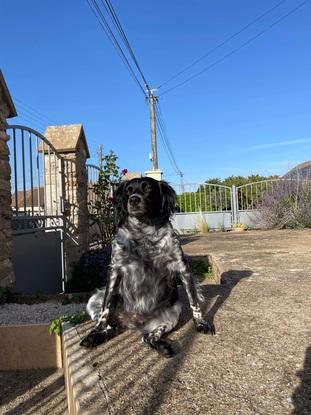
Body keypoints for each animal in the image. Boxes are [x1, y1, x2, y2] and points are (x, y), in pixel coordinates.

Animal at [81, 176, 214, 358]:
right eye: (128, 191)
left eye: (148, 189)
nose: (133, 199)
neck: (143, 233)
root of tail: (133, 323)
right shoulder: (115, 270)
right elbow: (105, 312)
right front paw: (94, 333)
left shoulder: (183, 269)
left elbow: (195, 303)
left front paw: (201, 323)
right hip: (94, 300)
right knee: (110, 326)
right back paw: (98, 336)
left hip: (172, 314)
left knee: (147, 337)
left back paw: (162, 346)